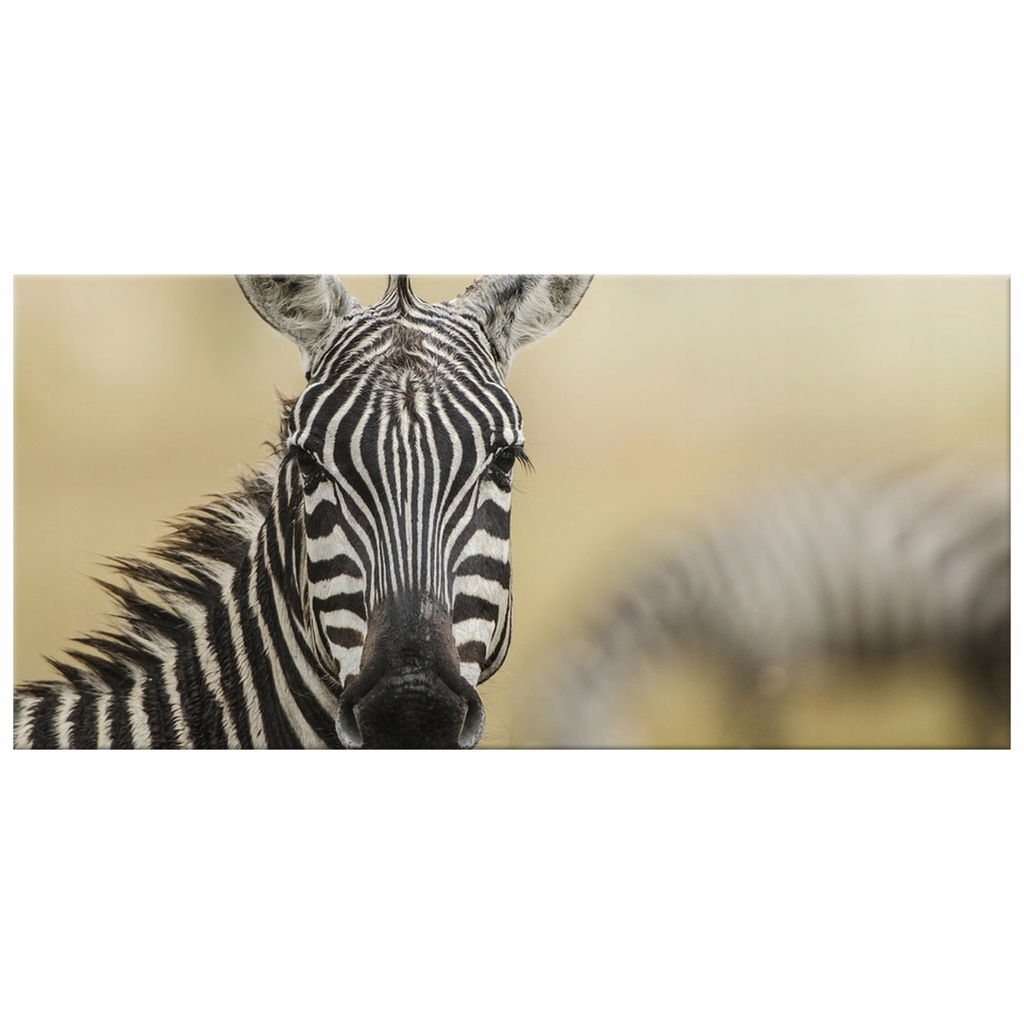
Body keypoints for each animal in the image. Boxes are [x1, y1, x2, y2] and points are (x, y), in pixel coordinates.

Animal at [526, 454, 1010, 748]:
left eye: (559, 742)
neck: (704, 584)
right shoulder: (732, 670)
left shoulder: (768, 659)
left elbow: (766, 735)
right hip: (976, 652)